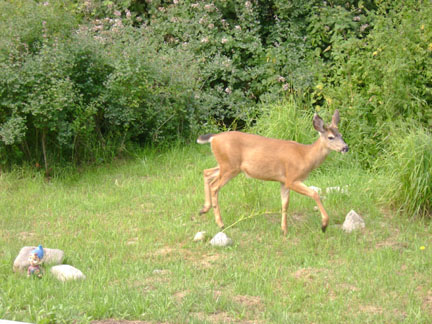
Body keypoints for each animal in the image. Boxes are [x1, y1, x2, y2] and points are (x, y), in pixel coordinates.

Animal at [197, 110, 350, 234]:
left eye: (341, 135)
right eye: (331, 137)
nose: (345, 148)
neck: (305, 156)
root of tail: (214, 138)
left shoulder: (283, 181)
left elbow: (285, 204)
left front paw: (284, 230)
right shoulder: (292, 178)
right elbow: (315, 193)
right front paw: (324, 225)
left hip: (226, 165)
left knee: (206, 172)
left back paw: (204, 209)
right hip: (230, 166)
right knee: (214, 186)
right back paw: (220, 223)